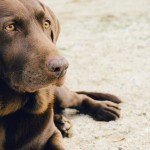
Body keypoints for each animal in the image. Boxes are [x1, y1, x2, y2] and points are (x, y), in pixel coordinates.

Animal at [0, 0, 120, 149]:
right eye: (10, 27)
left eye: (46, 24)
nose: (62, 66)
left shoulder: (51, 135)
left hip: (60, 95)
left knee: (79, 97)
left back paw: (102, 108)